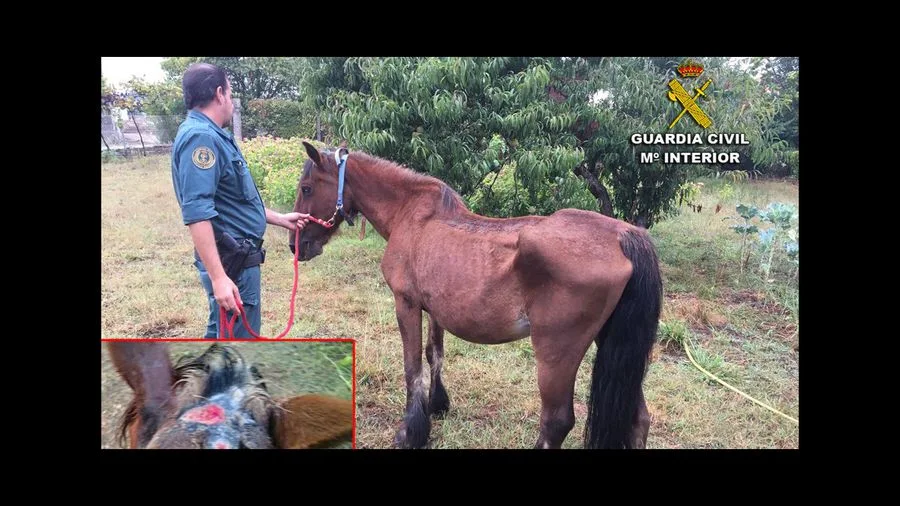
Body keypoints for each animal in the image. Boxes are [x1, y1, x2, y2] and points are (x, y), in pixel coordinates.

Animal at [292, 141, 664, 446]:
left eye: (307, 188)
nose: (297, 246)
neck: (411, 215)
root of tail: (624, 236)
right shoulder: (434, 308)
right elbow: (434, 354)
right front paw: (437, 405)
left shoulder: (406, 304)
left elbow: (412, 367)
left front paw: (410, 432)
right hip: (612, 343)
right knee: (638, 420)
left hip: (556, 352)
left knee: (556, 422)